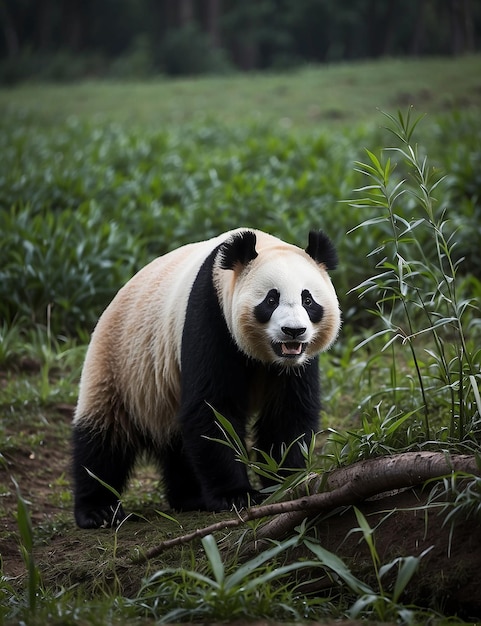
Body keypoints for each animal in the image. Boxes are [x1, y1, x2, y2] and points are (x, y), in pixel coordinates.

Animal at [72, 227, 342, 524]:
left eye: (308, 300)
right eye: (271, 300)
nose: (293, 331)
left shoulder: (298, 363)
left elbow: (287, 413)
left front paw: (286, 480)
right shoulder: (211, 315)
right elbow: (213, 409)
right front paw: (236, 495)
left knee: (176, 444)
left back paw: (189, 497)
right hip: (120, 365)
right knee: (102, 438)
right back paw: (98, 509)